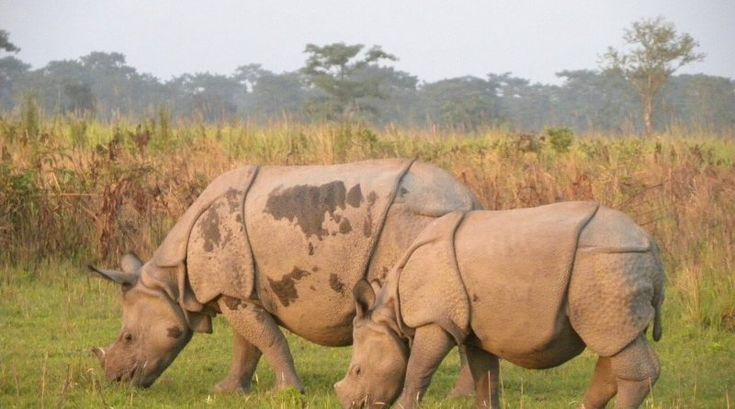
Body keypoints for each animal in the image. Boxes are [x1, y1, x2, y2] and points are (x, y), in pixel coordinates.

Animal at [90, 160, 484, 396]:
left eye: (128, 337)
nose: (116, 379)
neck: (171, 280)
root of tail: (471, 201)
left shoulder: (231, 291)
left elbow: (268, 340)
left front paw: (286, 392)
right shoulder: (238, 291)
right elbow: (247, 344)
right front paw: (226, 391)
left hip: (419, 219)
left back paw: (456, 397)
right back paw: (463, 396)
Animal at [338, 202, 668, 408]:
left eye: (357, 371)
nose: (350, 404)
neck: (391, 314)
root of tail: (652, 246)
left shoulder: (435, 319)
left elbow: (417, 372)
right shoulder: (474, 331)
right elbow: (486, 378)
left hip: (607, 263)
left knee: (617, 346)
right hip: (614, 273)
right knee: (617, 343)